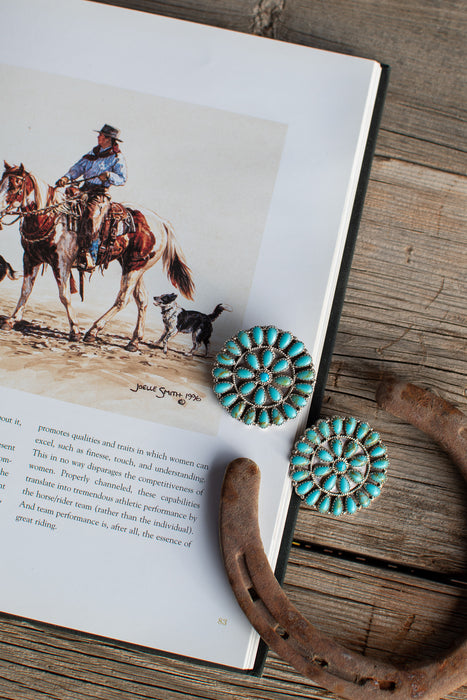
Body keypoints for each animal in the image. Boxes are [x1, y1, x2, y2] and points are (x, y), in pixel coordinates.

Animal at [0, 163, 195, 350]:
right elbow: (26, 290)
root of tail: (161, 222)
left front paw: (75, 330)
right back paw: (133, 342)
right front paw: (12, 320)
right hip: (133, 265)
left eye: (15, 185)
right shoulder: (30, 258)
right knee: (142, 299)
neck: (50, 218)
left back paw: (93, 331)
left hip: (134, 267)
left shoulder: (61, 262)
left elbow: (64, 295)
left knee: (123, 299)